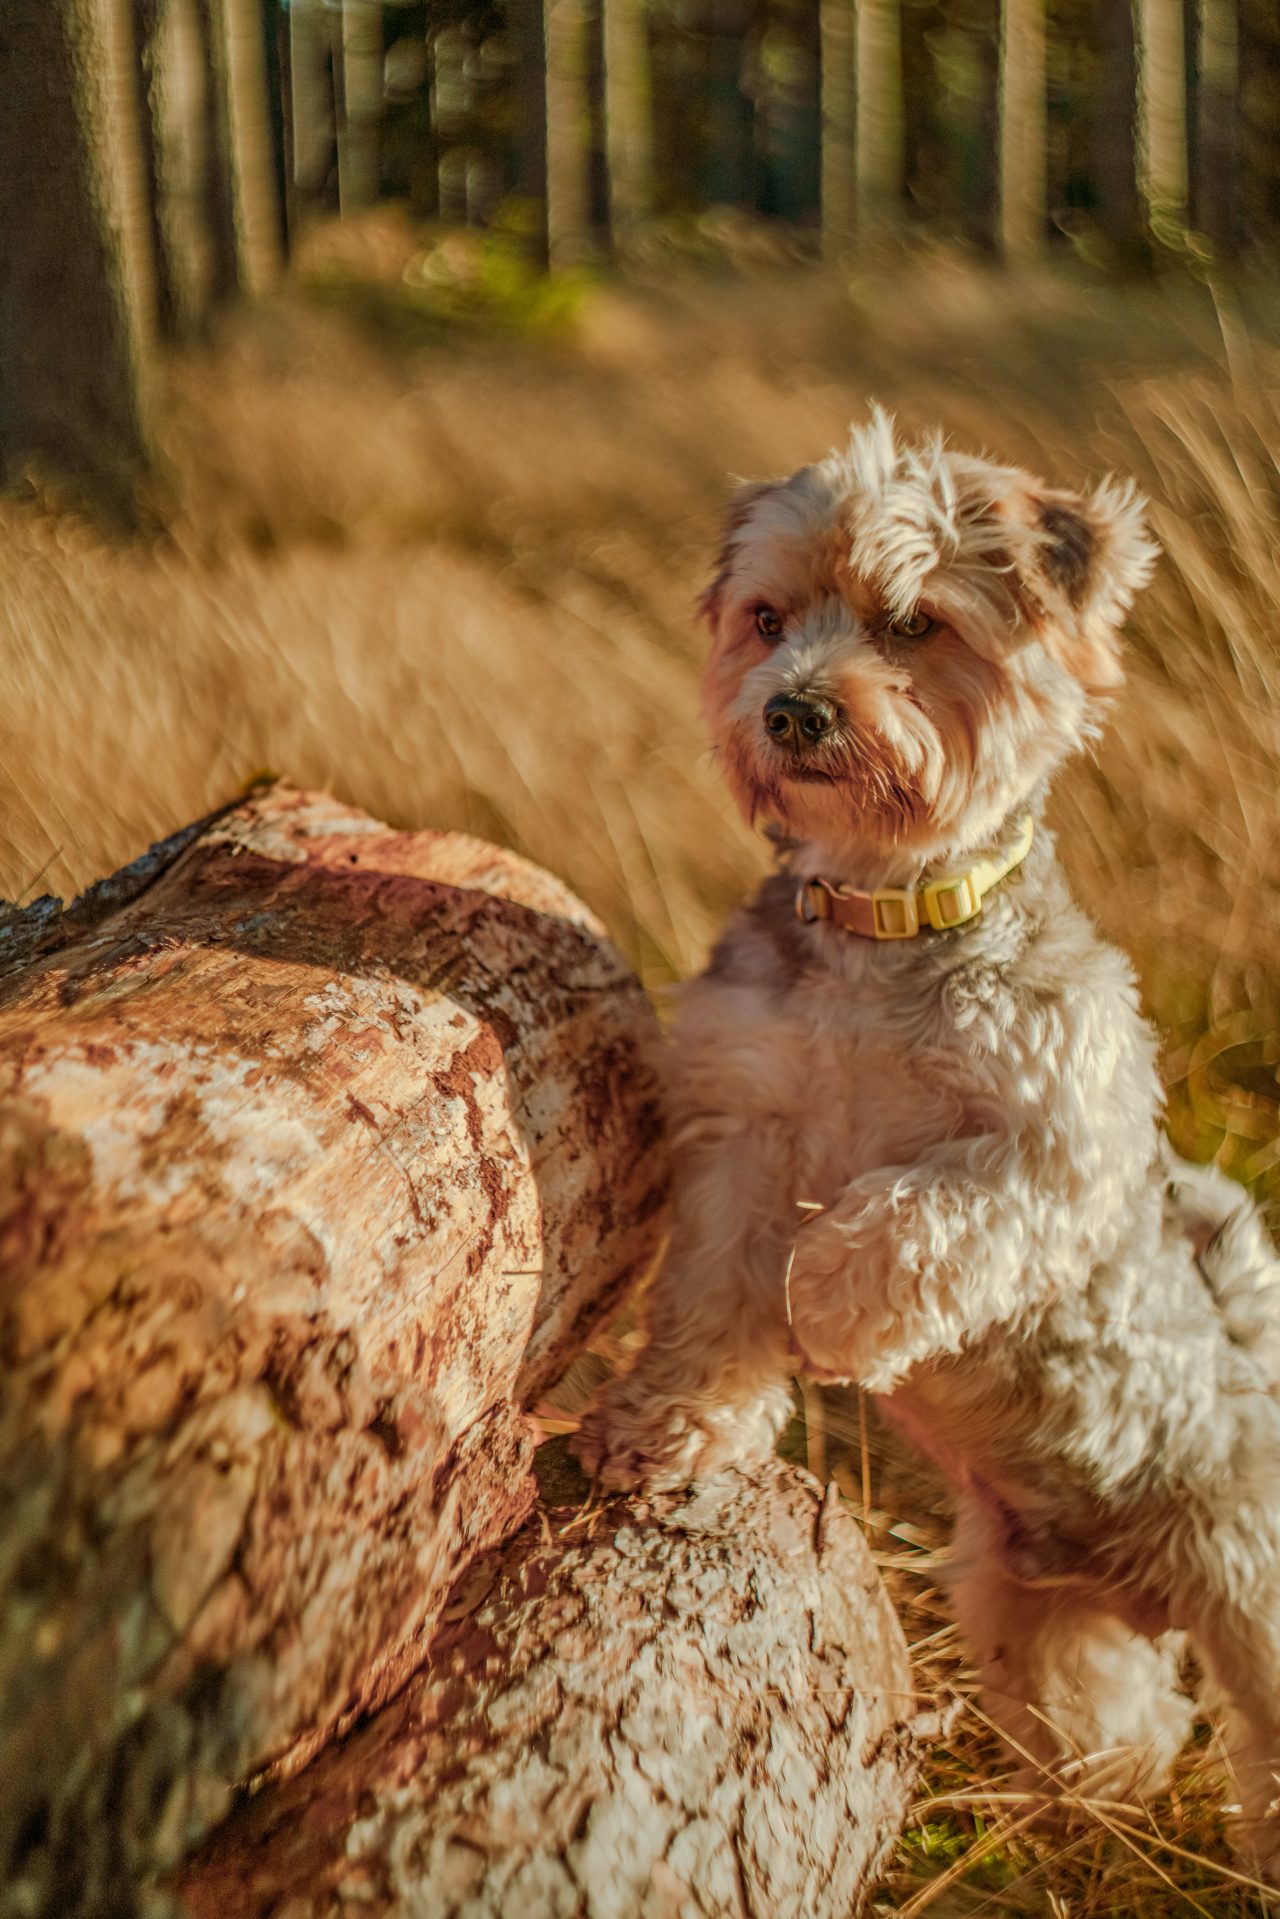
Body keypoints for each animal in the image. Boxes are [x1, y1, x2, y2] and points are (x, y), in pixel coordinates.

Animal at [575, 408, 1280, 1872]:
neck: (881, 922)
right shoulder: (740, 1122)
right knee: (1123, 1719)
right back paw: (1087, 1812)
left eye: (911, 622)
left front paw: (835, 1310)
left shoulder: (1062, 1144)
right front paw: (666, 1428)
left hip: (1256, 1588)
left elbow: (917, 1209)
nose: (790, 707)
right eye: (767, 616)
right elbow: (711, 1300)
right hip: (1032, 1615)